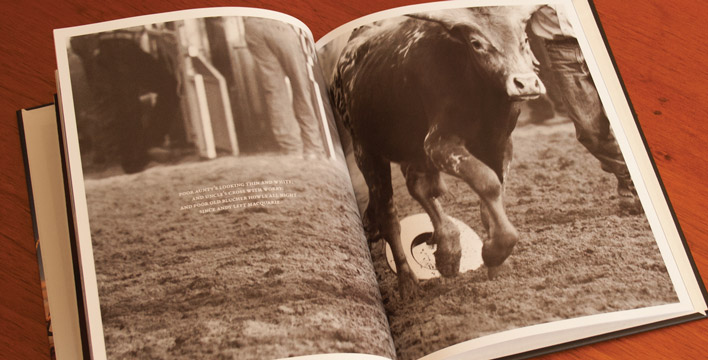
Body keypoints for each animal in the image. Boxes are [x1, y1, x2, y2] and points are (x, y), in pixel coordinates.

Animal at [334, 7, 548, 298]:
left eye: (524, 38)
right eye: (476, 43)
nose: (525, 84)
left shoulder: (502, 144)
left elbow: (490, 195)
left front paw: (496, 265)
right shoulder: (438, 143)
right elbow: (487, 182)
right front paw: (494, 252)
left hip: (411, 151)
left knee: (420, 187)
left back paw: (447, 247)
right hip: (366, 151)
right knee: (390, 214)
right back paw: (408, 281)